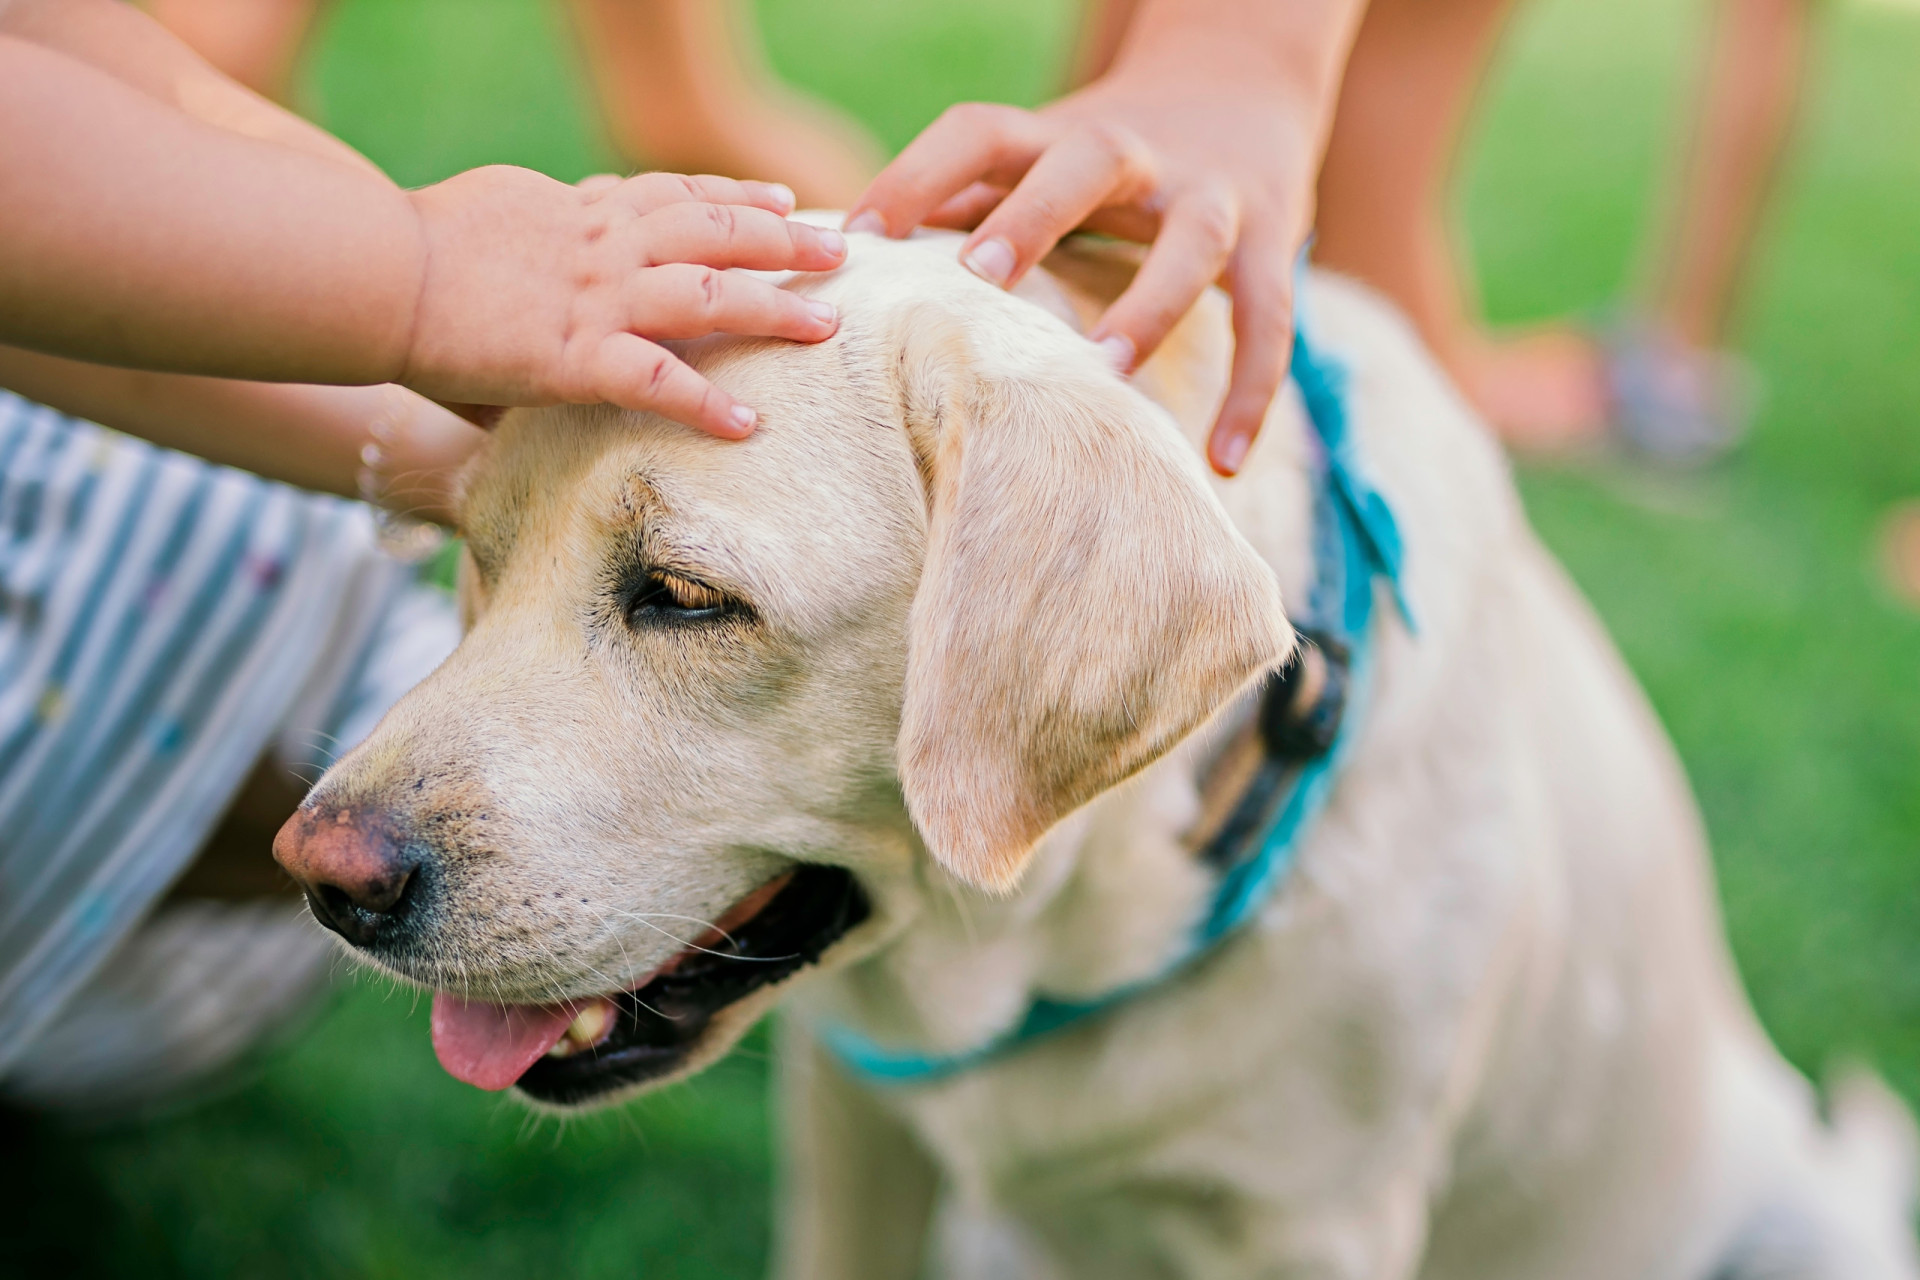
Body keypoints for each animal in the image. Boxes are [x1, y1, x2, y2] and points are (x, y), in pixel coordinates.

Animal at [274, 225, 1920, 1274]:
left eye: (683, 596)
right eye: (477, 560)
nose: (322, 875)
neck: (1058, 938)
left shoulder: (1312, 1229)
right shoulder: (852, 1133)